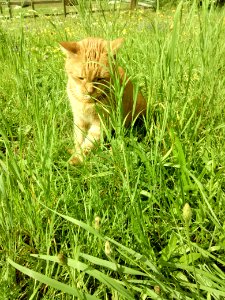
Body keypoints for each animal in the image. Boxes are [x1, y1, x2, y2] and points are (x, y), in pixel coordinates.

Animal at [60, 37, 147, 165]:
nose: (89, 91)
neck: (86, 103)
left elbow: (87, 143)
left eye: (100, 78)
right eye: (81, 78)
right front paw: (75, 151)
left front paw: (77, 159)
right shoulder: (79, 120)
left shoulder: (101, 123)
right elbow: (79, 139)